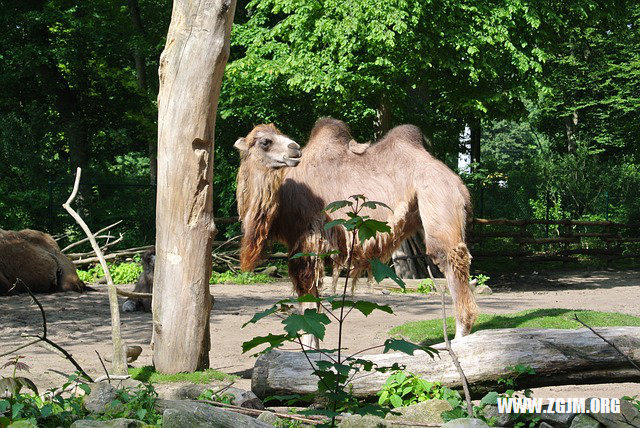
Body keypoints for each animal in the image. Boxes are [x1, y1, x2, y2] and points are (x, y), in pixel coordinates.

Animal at [232, 118, 478, 348]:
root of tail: (458, 183)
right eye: (265, 141)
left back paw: (459, 338)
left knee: (450, 257)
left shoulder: (307, 241)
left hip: (438, 198)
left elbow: (307, 299)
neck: (284, 193)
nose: (294, 149)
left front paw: (309, 352)